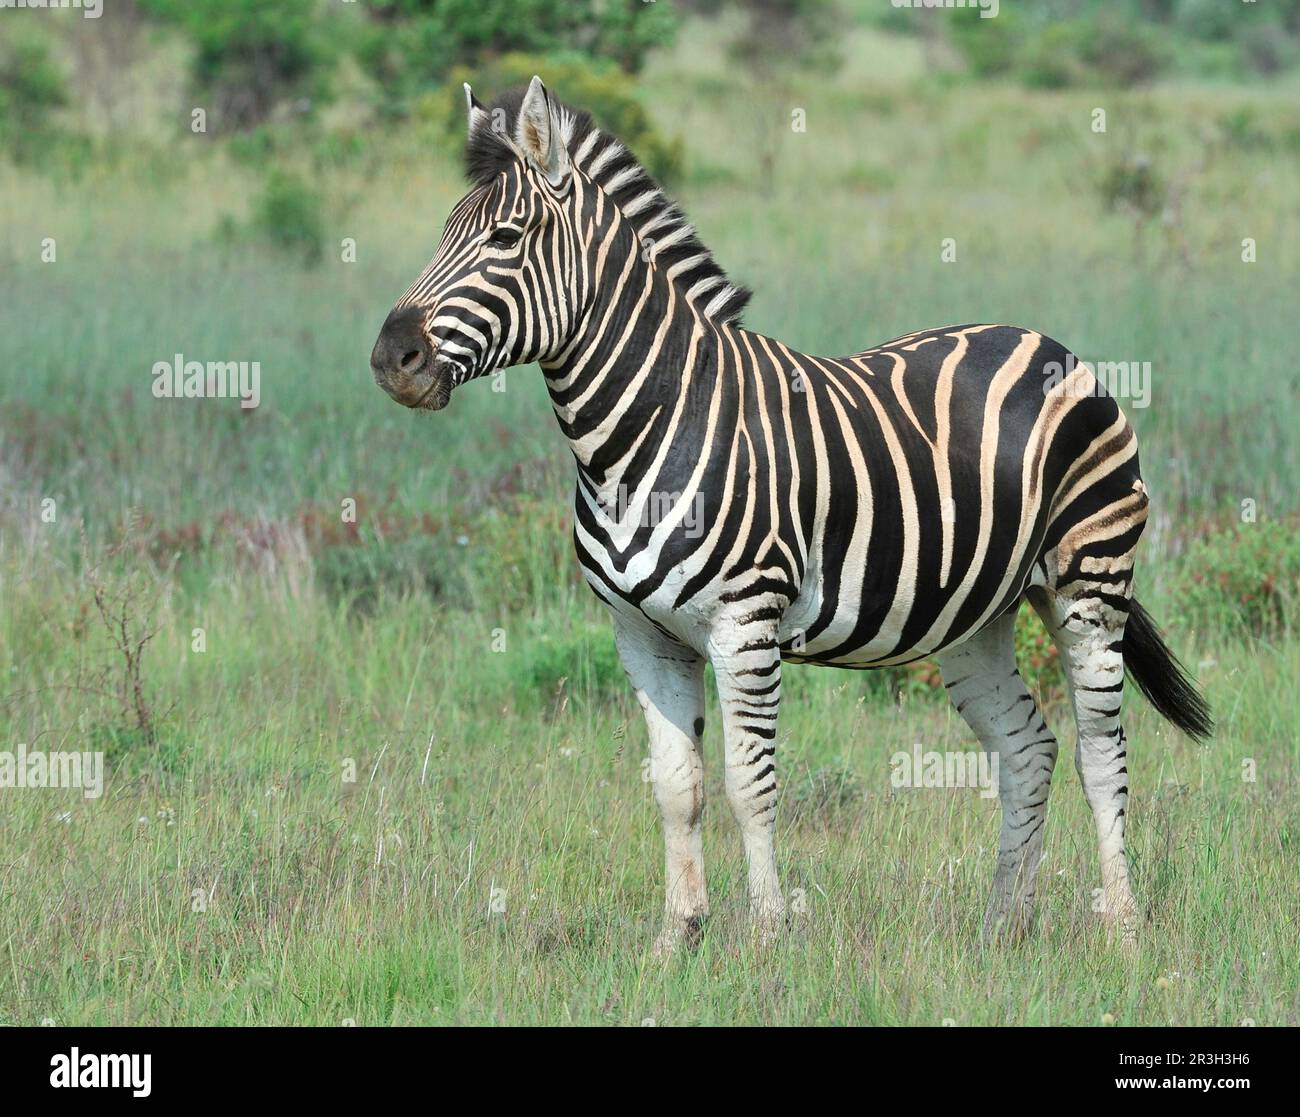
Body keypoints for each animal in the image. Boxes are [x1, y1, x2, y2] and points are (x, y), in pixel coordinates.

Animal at [371, 76, 1211, 951]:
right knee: (1027, 747)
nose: (391, 358)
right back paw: (1000, 931)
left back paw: (1122, 927)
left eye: (507, 236)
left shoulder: (745, 623)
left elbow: (749, 783)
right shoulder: (641, 632)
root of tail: (1051, 344)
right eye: (444, 232)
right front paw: (676, 938)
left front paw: (768, 936)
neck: (643, 430)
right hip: (978, 612)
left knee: (1099, 751)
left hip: (1090, 581)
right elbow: (676, 786)